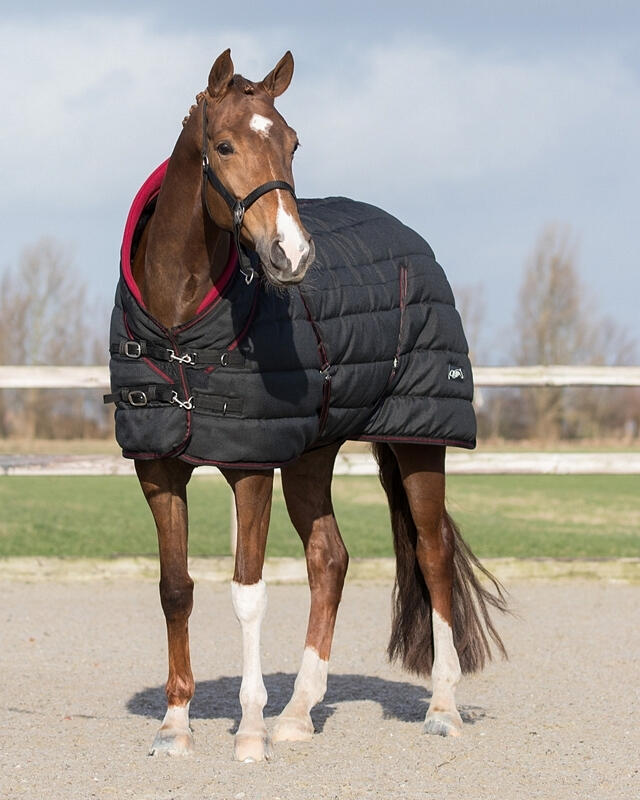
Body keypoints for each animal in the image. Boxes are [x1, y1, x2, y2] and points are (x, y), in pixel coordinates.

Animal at [108, 49, 507, 762]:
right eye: (225, 145)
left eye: (293, 144)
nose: (291, 254)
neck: (181, 328)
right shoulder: (157, 467)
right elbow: (176, 589)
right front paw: (176, 725)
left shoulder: (249, 469)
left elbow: (248, 595)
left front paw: (248, 734)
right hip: (311, 455)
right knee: (329, 559)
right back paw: (298, 712)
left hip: (419, 443)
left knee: (432, 555)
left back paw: (441, 708)